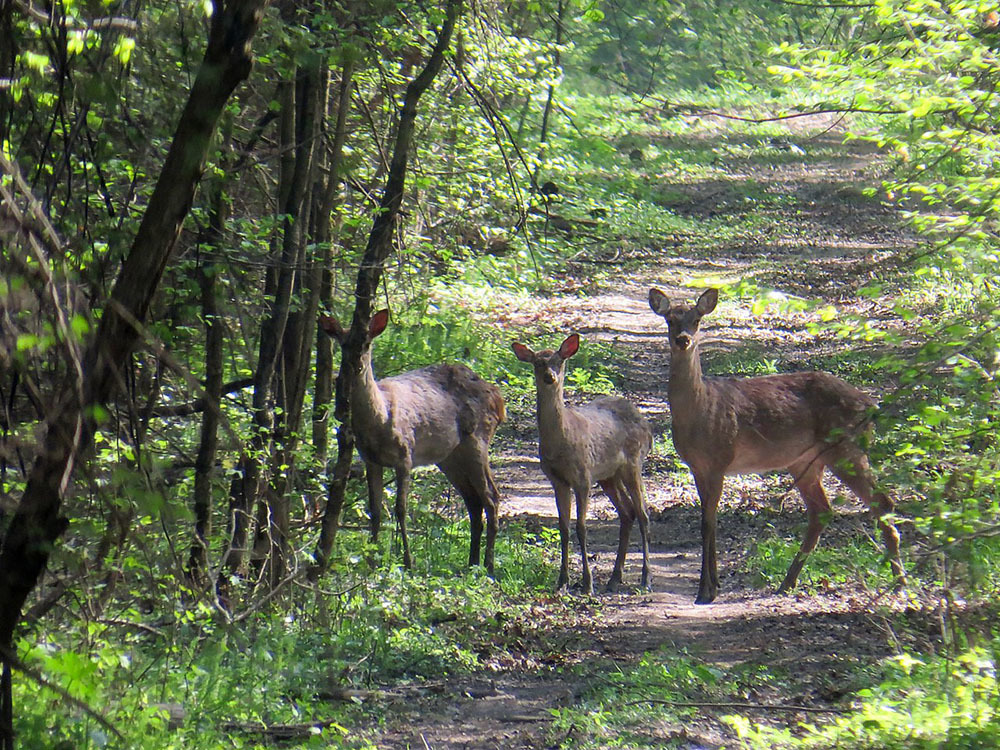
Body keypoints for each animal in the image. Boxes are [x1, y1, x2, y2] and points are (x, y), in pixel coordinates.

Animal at [320, 310, 508, 576]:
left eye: (366, 343)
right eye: (344, 344)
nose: (356, 365)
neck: (379, 418)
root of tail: (498, 397)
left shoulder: (405, 455)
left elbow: (401, 509)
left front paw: (408, 562)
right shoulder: (371, 460)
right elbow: (375, 510)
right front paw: (372, 561)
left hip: (478, 440)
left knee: (491, 497)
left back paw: (489, 567)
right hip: (450, 457)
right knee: (473, 501)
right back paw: (472, 562)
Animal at [512, 332, 652, 596]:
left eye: (559, 361)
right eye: (538, 362)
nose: (550, 377)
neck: (561, 441)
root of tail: (647, 426)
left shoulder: (583, 476)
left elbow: (581, 527)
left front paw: (587, 584)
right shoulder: (557, 480)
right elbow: (564, 528)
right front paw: (562, 581)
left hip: (633, 463)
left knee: (643, 514)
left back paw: (646, 579)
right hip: (609, 476)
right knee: (627, 512)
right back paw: (615, 578)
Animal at [648, 288, 908, 604]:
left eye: (696, 320)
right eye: (670, 320)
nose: (683, 339)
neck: (700, 409)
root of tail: (872, 405)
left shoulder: (720, 460)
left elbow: (709, 522)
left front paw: (706, 591)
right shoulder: (698, 467)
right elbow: (706, 521)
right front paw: (712, 586)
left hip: (847, 448)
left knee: (882, 502)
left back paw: (899, 583)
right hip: (806, 460)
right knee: (822, 511)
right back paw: (788, 582)